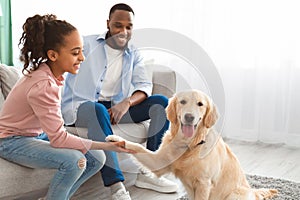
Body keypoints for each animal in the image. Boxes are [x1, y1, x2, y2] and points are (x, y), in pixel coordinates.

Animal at [106, 90, 278, 199]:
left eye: (200, 104)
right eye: (182, 102)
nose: (189, 117)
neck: (188, 145)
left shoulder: (204, 184)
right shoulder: (159, 161)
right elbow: (137, 146)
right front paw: (115, 138)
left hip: (235, 195)